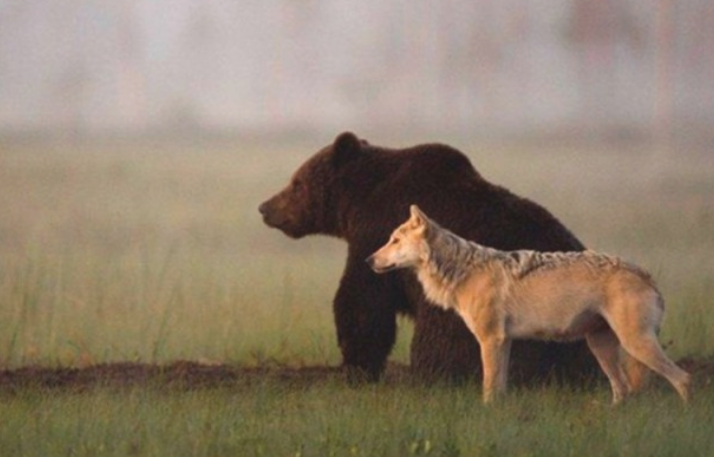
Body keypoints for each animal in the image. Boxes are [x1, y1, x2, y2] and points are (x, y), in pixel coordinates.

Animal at [259, 132, 599, 383]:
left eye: (297, 183)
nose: (265, 207)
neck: (359, 200)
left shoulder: (376, 233)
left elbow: (363, 300)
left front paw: (356, 365)